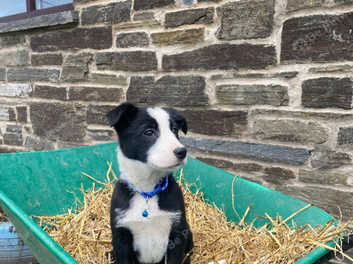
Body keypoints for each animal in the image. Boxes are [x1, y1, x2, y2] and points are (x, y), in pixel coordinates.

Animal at [108, 103, 192, 264]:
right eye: (149, 132)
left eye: (174, 130)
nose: (182, 151)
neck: (147, 191)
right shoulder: (121, 236)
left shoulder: (177, 232)